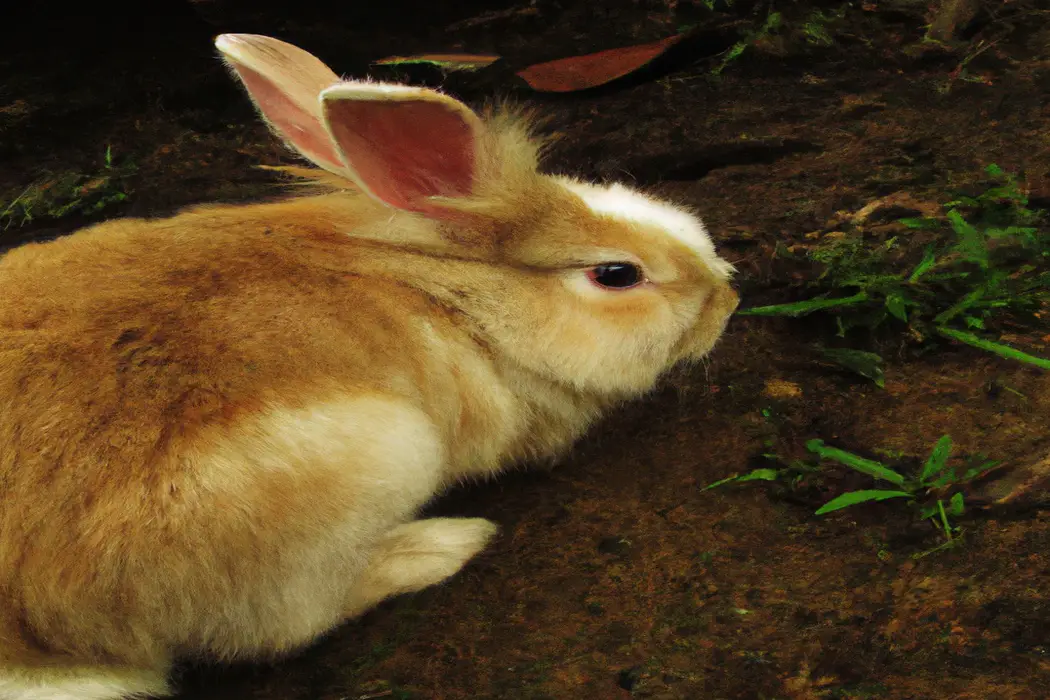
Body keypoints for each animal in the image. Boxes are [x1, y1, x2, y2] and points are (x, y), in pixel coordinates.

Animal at [0, 34, 739, 700]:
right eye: (617, 274)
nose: (727, 299)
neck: (450, 291)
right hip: (372, 459)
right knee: (291, 621)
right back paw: (443, 545)